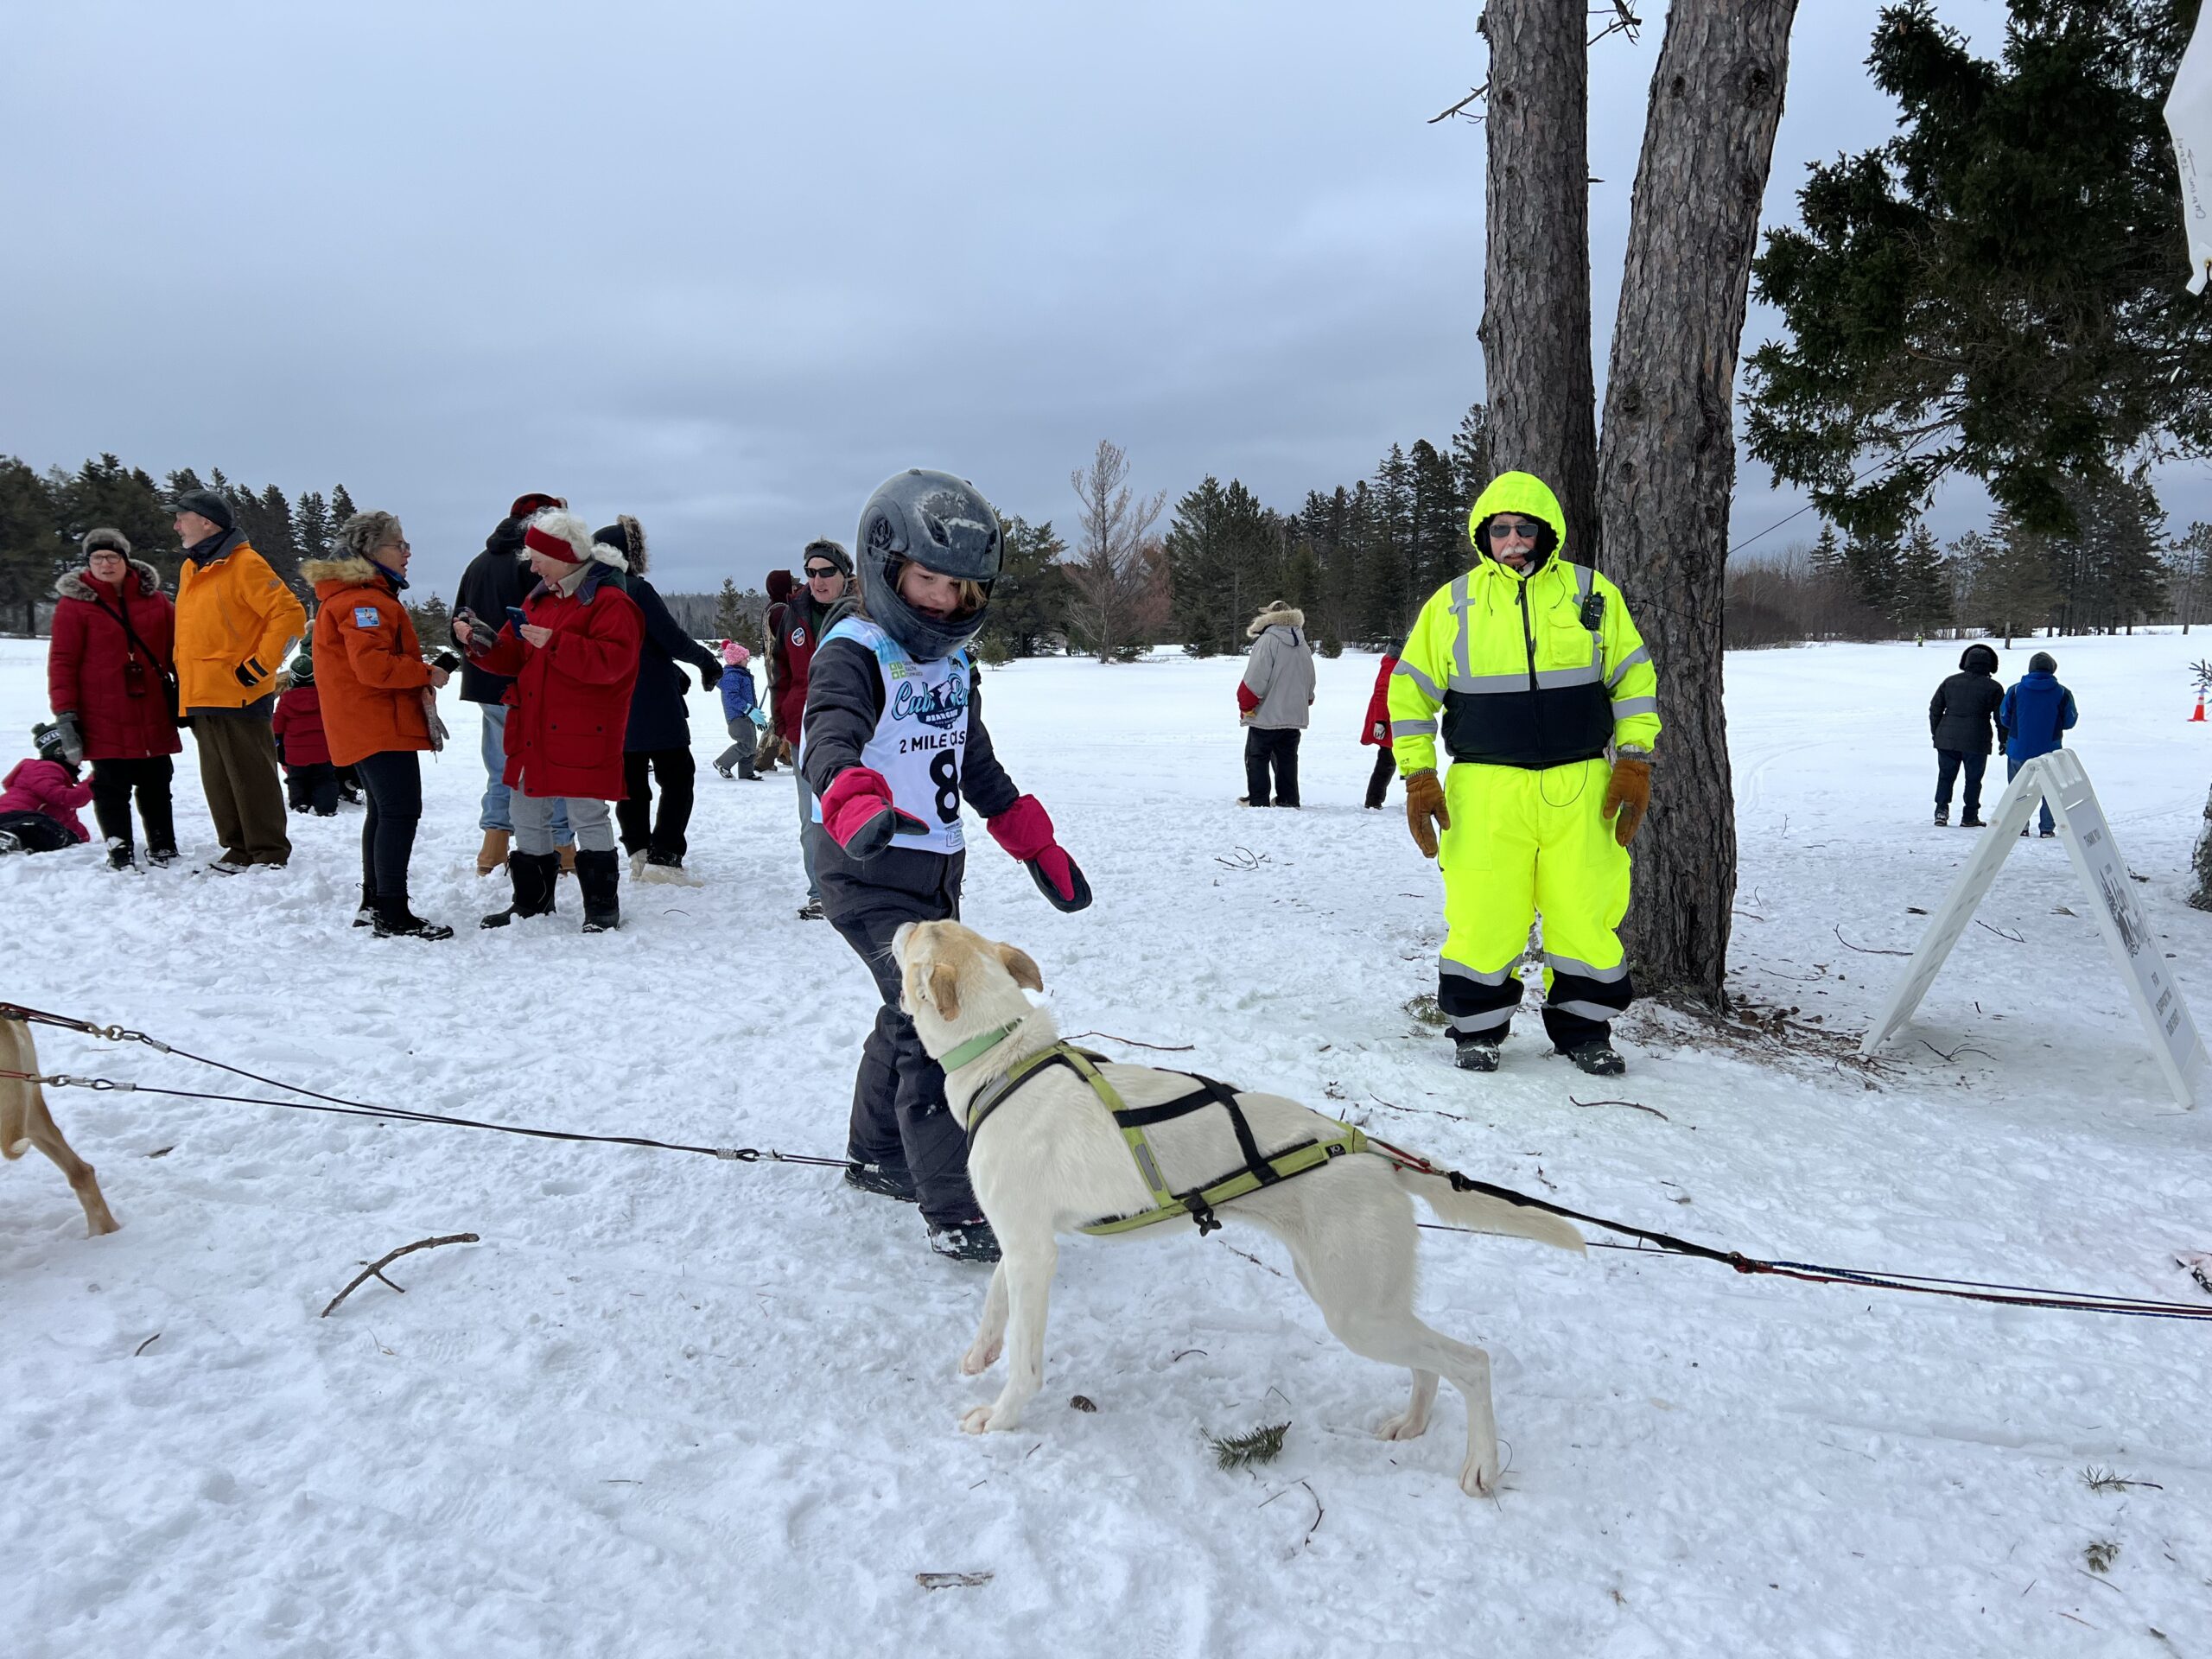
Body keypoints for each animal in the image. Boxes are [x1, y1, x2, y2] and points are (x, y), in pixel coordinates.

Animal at [889, 925, 1583, 1503]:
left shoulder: (1035, 1251)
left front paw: (1001, 1416)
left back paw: (1481, 1466)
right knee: (1429, 1364)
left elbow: (1026, 1360)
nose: (898, 923)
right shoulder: (1023, 1239)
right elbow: (996, 1296)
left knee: (1471, 1362)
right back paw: (1412, 1423)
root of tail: (1375, 1156)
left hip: (1356, 1313)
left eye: (920, 933)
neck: (1003, 1063)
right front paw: (980, 1352)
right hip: (1362, 1302)